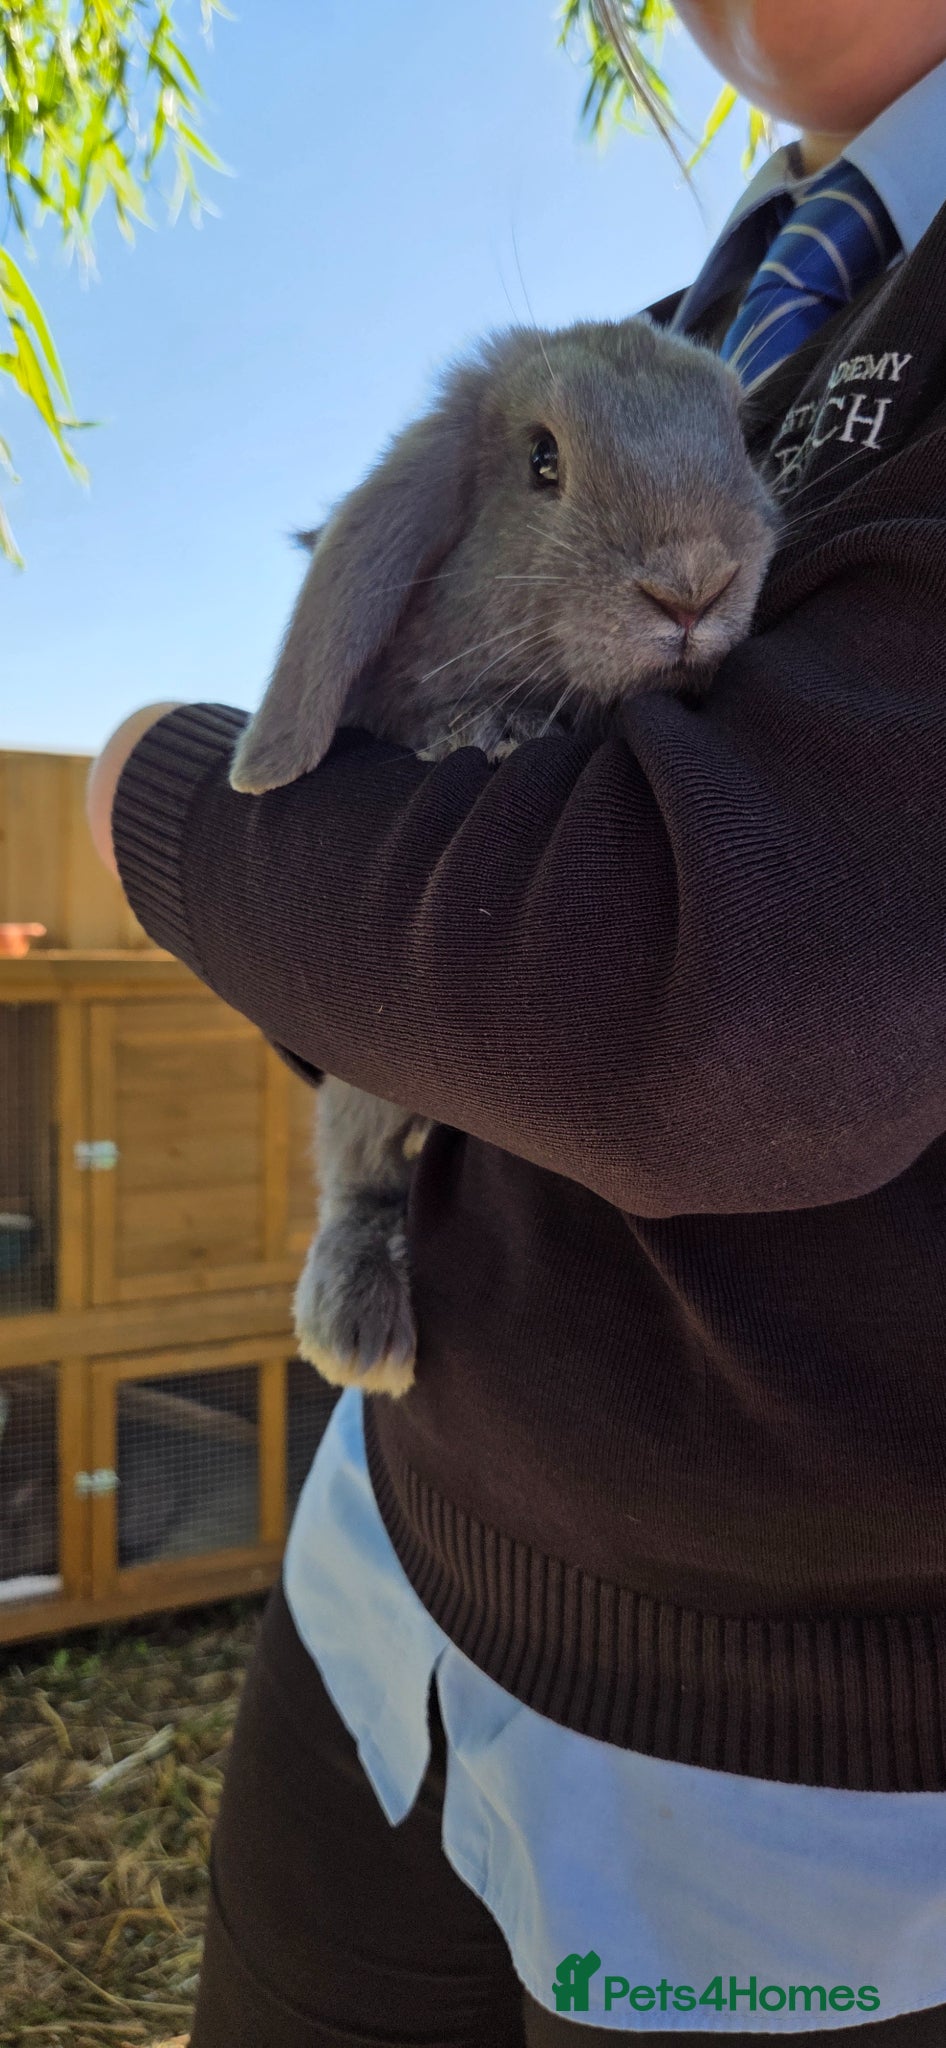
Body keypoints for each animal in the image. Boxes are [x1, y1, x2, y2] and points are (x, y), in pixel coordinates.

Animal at [229, 316, 780, 1400]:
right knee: (361, 1175)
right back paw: (355, 1330)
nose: (693, 585)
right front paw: (489, 730)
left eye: (740, 438)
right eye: (541, 461)